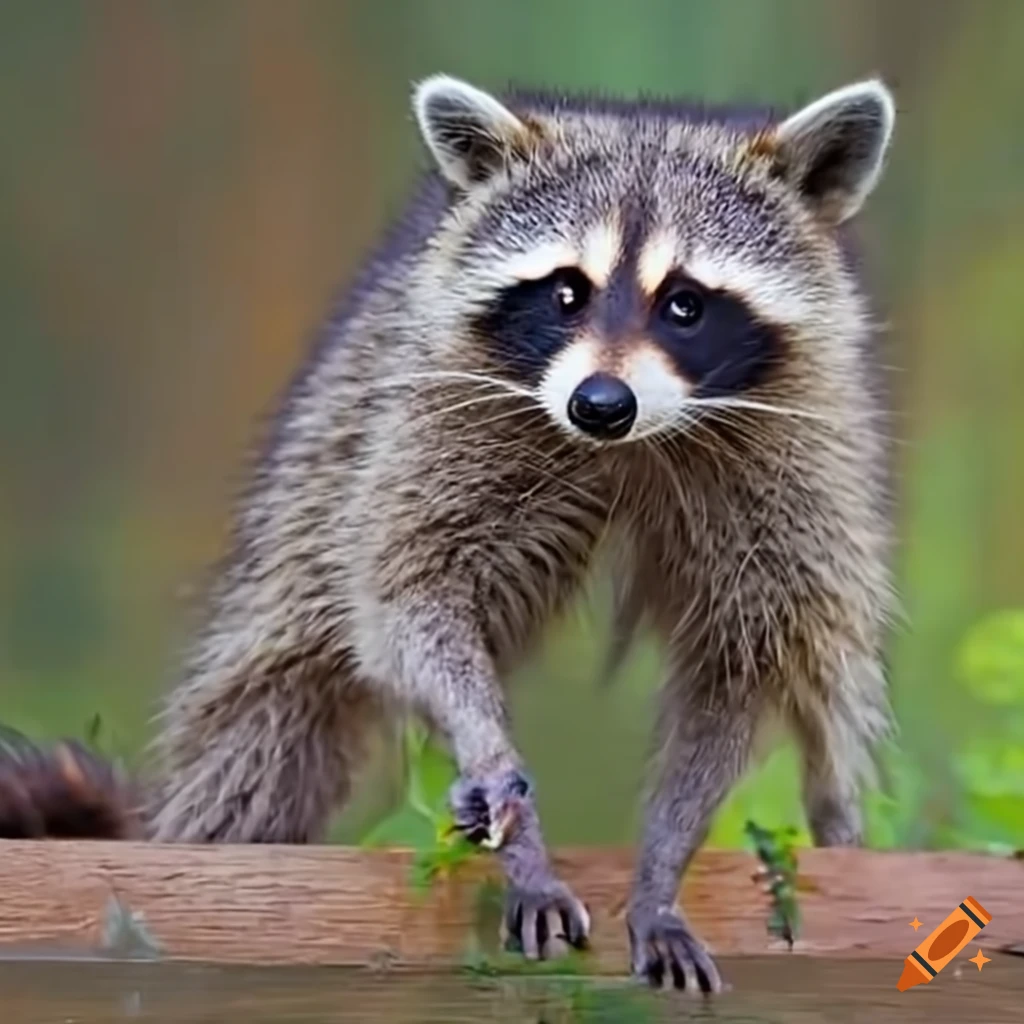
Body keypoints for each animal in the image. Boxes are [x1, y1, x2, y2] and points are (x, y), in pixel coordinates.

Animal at [1, 73, 897, 991]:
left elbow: (738, 664)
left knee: (829, 713)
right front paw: (503, 791)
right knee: (269, 720)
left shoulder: (785, 467)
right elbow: (410, 602)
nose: (599, 405)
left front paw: (661, 867)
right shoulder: (440, 409)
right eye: (566, 292)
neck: (625, 445)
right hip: (325, 455)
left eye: (685, 304)